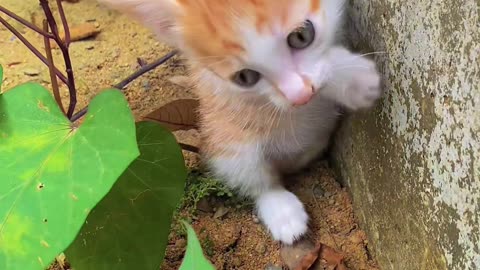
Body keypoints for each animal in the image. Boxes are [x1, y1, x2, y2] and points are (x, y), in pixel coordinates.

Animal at [100, 0, 382, 245]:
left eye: (302, 35)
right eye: (245, 77)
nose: (300, 96)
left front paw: (352, 78)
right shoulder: (218, 91)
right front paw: (355, 80)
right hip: (226, 142)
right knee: (254, 174)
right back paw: (281, 210)